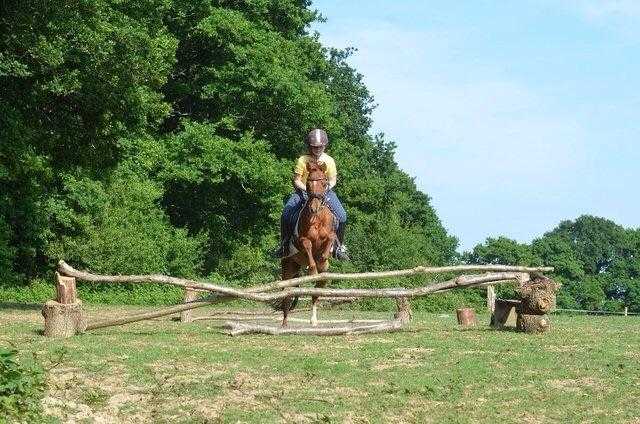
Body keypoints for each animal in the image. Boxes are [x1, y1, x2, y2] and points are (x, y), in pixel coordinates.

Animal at [278, 161, 336, 326]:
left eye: (324, 183)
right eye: (308, 183)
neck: (317, 218)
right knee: (287, 296)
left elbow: (331, 237)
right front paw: (313, 269)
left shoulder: (329, 236)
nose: (313, 208)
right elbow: (308, 245)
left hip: (322, 278)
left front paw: (322, 258)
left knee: (315, 294)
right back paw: (284, 324)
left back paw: (313, 320)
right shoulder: (300, 240)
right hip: (288, 268)